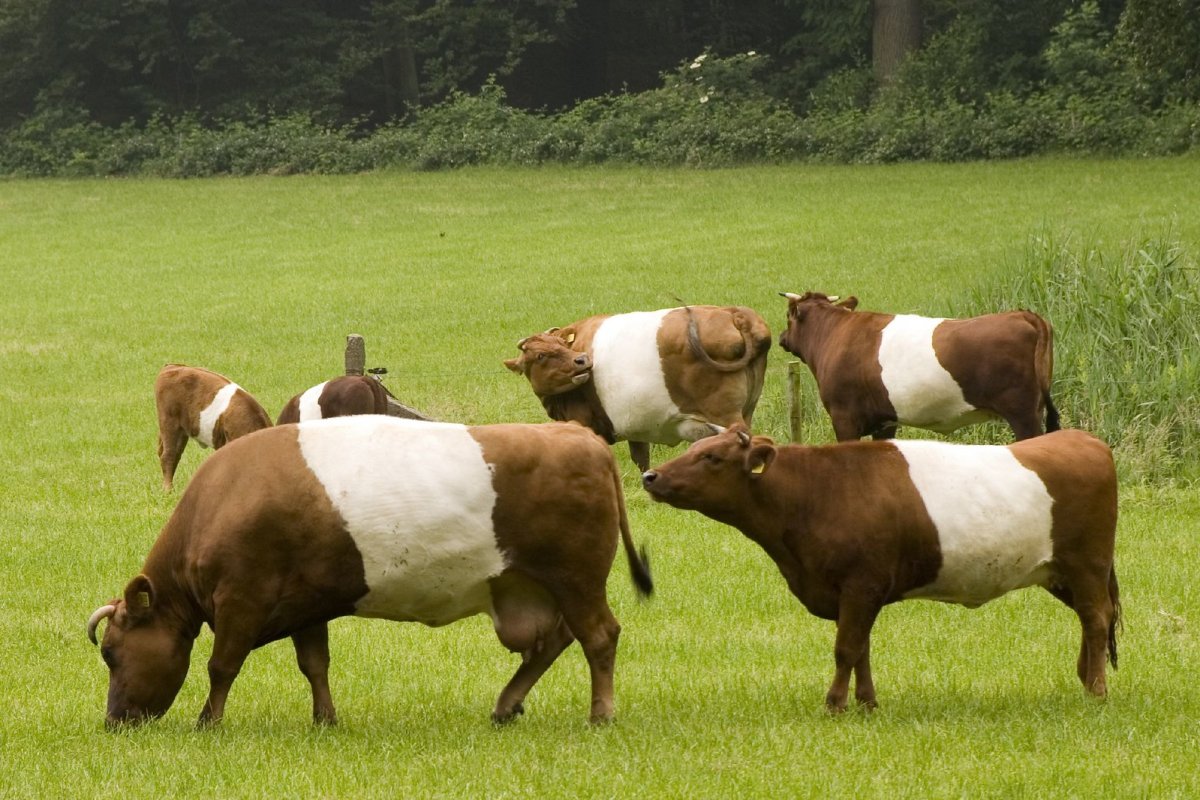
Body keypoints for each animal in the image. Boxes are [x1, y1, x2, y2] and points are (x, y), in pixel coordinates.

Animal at [87, 417, 653, 728]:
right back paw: (506, 704)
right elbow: (314, 665)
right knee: (554, 641)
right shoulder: (304, 605)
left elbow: (221, 666)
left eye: (112, 653)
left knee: (599, 636)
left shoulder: (241, 601)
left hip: (577, 580)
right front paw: (325, 719)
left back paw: (601, 713)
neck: (225, 498)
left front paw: (208, 721)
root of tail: (582, 437)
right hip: (531, 585)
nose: (114, 721)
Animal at [504, 305, 772, 471]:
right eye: (540, 355)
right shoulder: (636, 428)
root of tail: (734, 313)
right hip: (748, 407)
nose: (581, 359)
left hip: (726, 414)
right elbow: (641, 459)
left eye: (560, 344)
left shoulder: (581, 421)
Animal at [641, 424, 1118, 712]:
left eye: (712, 458)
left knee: (1097, 619)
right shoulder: (856, 594)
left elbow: (846, 648)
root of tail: (1084, 439)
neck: (814, 494)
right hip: (1059, 574)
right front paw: (867, 703)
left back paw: (1096, 690)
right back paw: (1084, 677)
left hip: (1087, 564)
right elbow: (862, 648)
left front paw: (834, 704)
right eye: (694, 448)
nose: (650, 476)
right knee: (1089, 619)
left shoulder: (860, 585)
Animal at [777, 292, 1059, 442]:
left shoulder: (843, 418)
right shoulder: (885, 422)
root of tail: (1022, 314)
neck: (834, 334)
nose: (782, 337)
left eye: (788, 315)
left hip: (1023, 414)